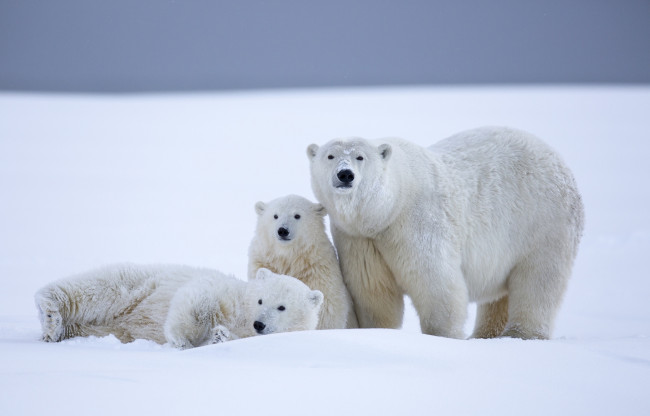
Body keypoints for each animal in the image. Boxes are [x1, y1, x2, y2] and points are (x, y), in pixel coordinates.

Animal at [34, 264, 322, 348]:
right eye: (261, 300)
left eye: (282, 307)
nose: (259, 323)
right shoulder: (226, 292)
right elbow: (198, 297)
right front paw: (181, 338)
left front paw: (219, 336)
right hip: (136, 286)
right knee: (95, 288)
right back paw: (50, 312)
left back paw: (57, 329)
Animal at [249, 194, 360, 328]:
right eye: (275, 216)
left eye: (297, 215)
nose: (283, 230)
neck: (289, 258)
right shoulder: (263, 261)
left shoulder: (317, 271)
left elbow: (326, 309)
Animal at [306, 126, 584, 338]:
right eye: (330, 156)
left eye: (360, 157)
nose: (345, 175)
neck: (387, 209)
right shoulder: (359, 238)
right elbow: (373, 291)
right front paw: (378, 331)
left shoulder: (417, 222)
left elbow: (436, 283)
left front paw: (443, 336)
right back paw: (485, 334)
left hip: (543, 222)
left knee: (539, 280)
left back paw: (521, 334)